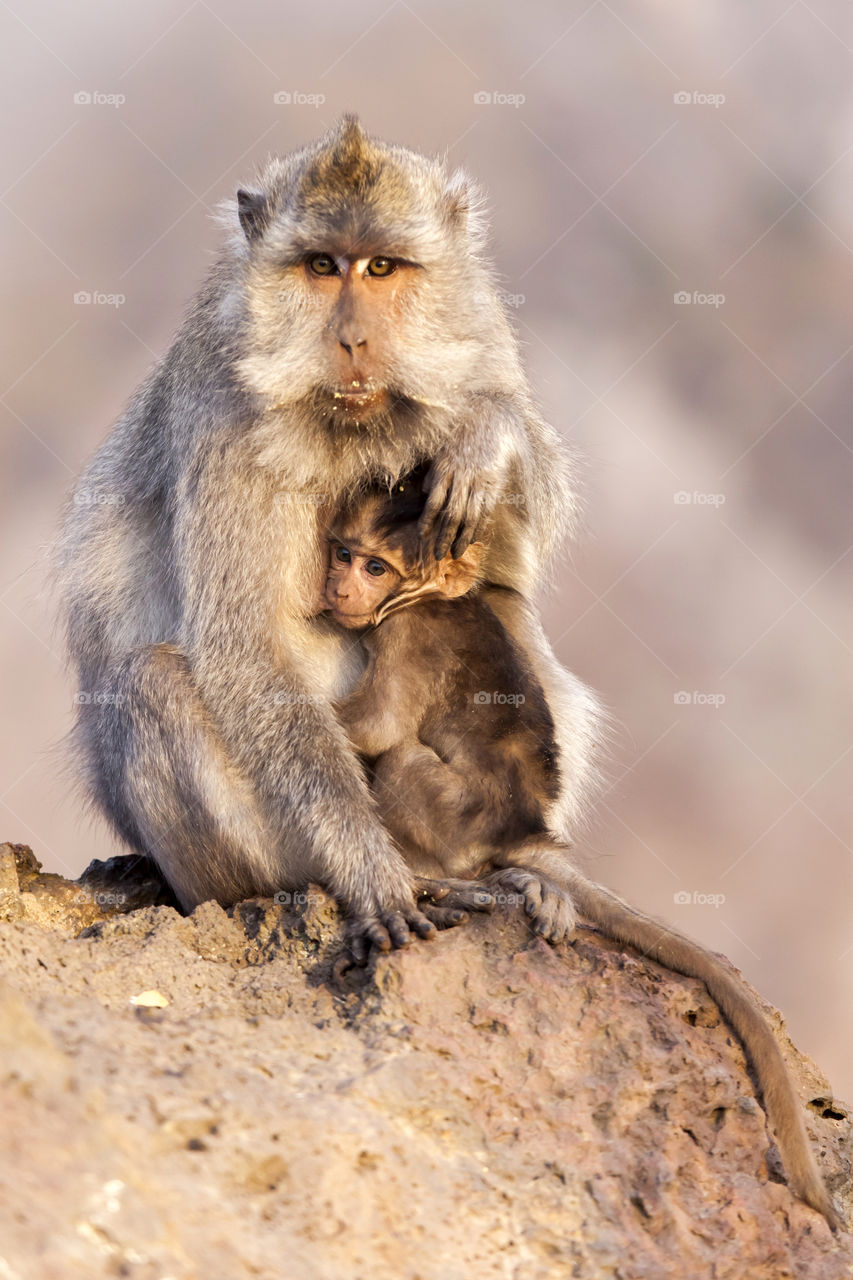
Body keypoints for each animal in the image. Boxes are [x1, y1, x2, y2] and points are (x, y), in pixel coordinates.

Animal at [56, 117, 596, 952]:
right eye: (320, 267)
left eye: (380, 268)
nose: (351, 341)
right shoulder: (223, 413)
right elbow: (242, 647)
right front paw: (366, 867)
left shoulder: (479, 338)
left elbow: (500, 565)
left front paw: (487, 432)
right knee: (154, 682)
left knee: (496, 606)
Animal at [325, 473, 835, 1228]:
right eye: (342, 553)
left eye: (376, 567)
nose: (339, 585)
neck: (433, 597)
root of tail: (523, 831)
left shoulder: (406, 634)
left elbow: (378, 727)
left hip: (449, 818)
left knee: (403, 760)